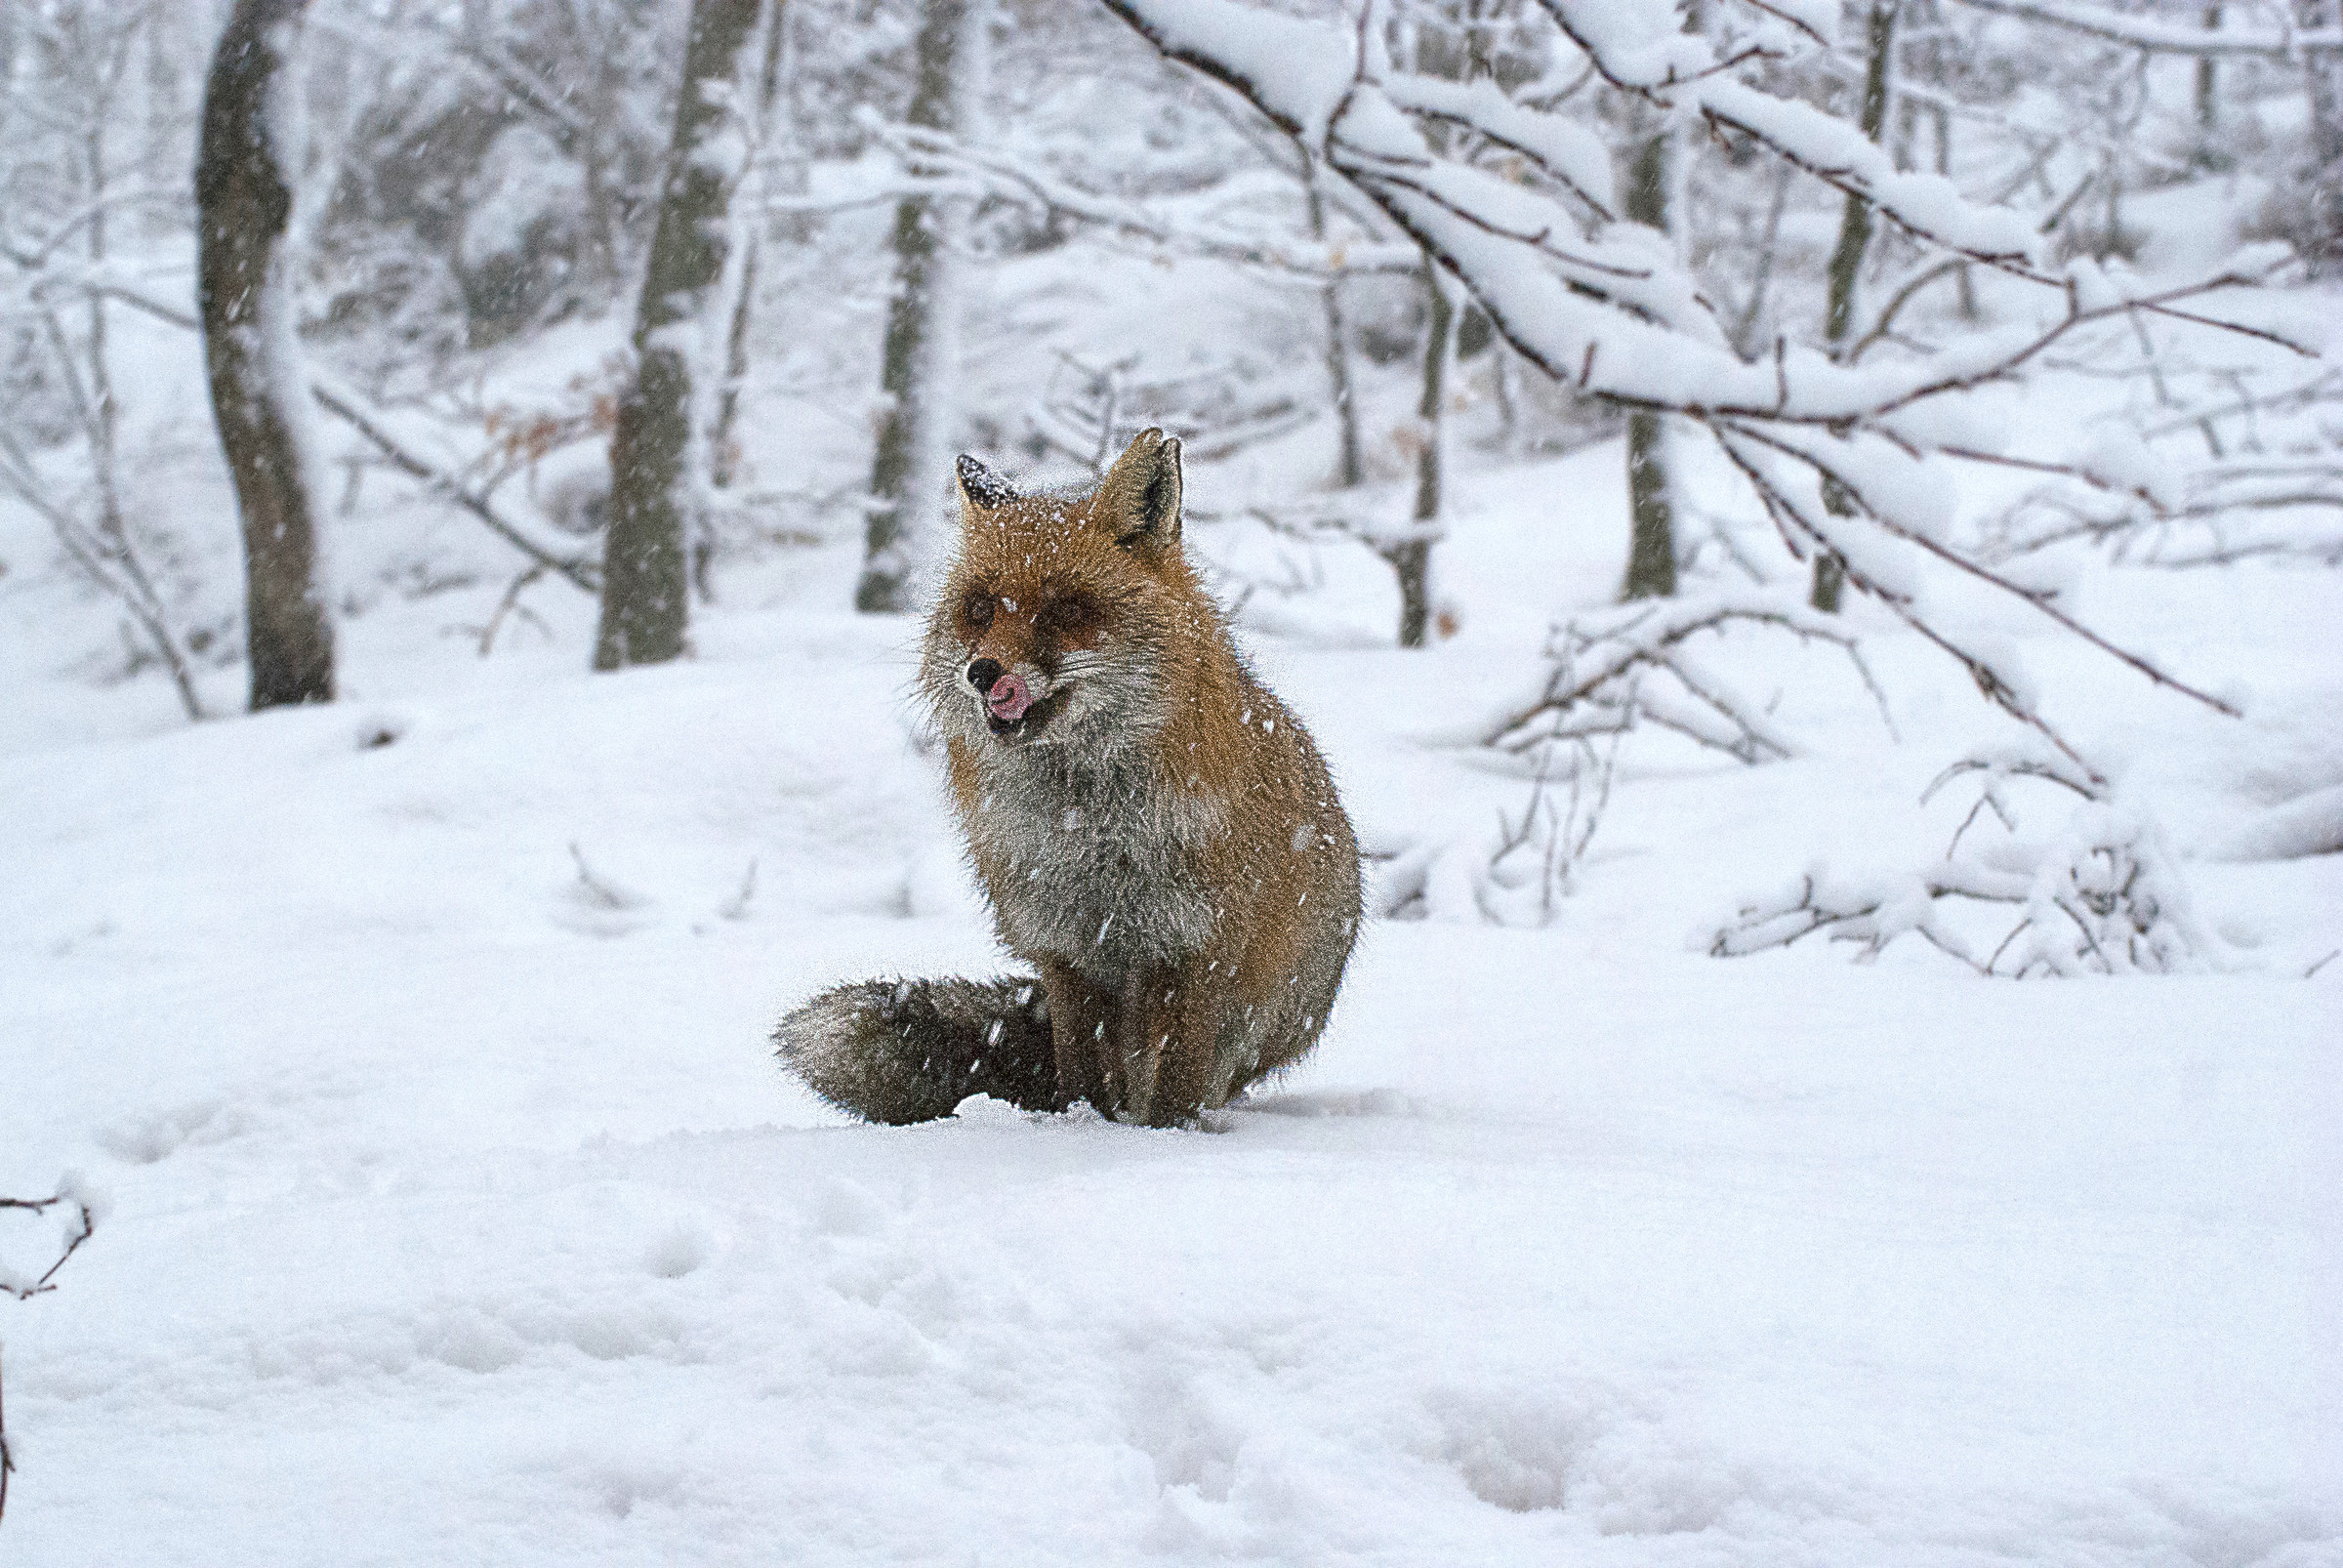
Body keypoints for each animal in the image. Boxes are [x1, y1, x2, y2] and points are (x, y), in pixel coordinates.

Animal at [774, 429, 1361, 1129]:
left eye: (1065, 609)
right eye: (979, 609)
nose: (982, 672)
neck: (1090, 833)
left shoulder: (1194, 952)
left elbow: (1176, 1093)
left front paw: (1168, 1143)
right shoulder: (1066, 950)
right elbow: (1080, 1073)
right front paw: (1079, 1131)